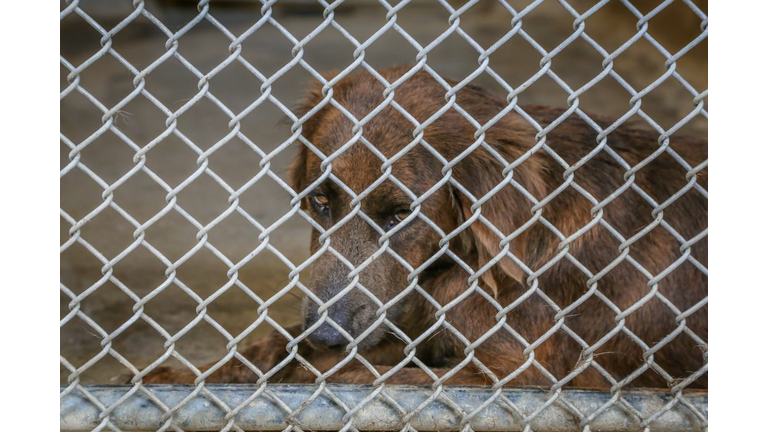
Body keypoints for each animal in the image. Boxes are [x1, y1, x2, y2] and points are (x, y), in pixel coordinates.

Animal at [142, 66, 708, 390]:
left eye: (400, 214)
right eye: (321, 201)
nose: (326, 333)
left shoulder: (526, 372)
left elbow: (349, 373)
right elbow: (276, 345)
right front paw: (181, 376)